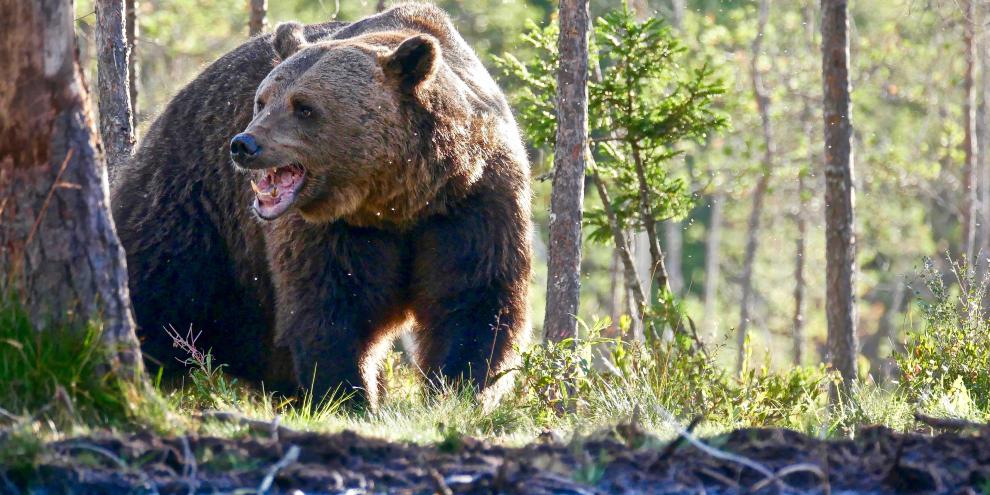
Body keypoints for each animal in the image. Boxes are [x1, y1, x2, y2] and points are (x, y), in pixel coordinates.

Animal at [111, 4, 532, 406]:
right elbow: (330, 305)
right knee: (157, 278)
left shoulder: (472, 200)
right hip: (193, 203)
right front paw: (350, 396)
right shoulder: (330, 228)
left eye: (304, 106)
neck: (398, 198)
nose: (244, 144)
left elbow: (475, 298)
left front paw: (456, 390)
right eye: (262, 100)